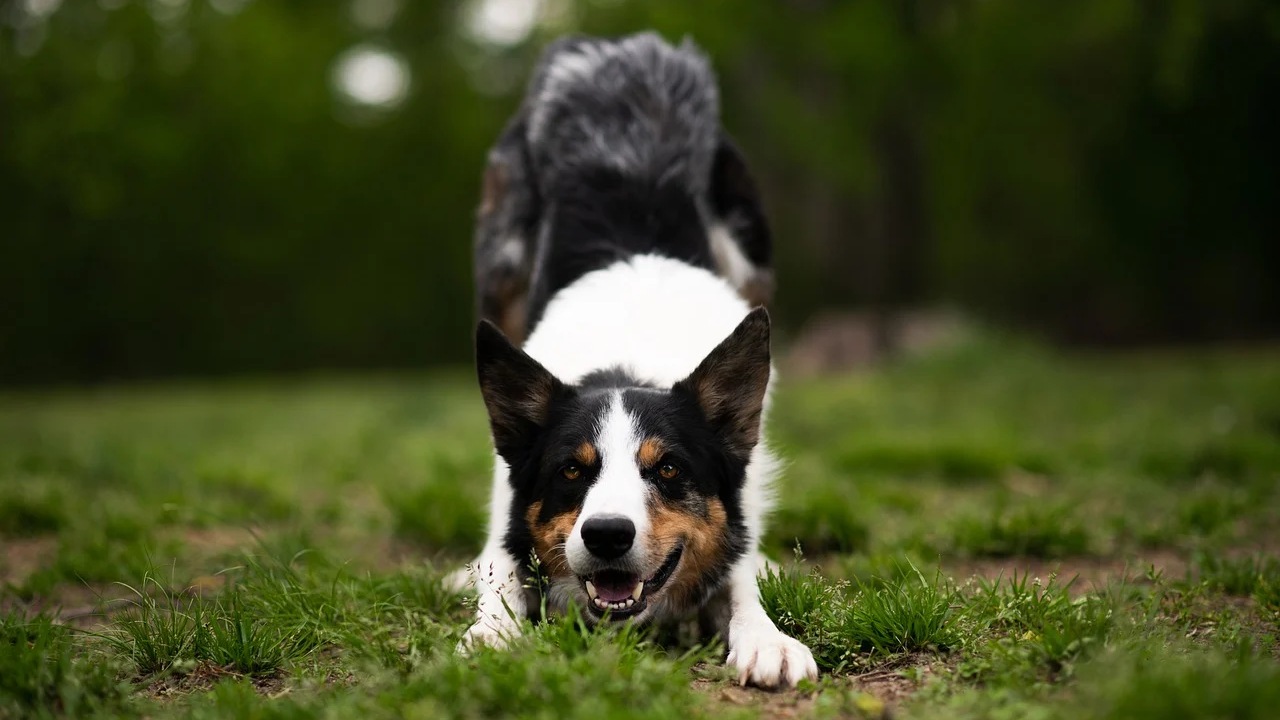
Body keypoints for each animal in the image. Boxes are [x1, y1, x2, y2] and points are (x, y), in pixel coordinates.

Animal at [460, 30, 819, 686]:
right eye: (571, 471)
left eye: (669, 469)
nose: (606, 535)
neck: (623, 360)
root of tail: (619, 44)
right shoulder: (507, 510)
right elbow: (500, 573)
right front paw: (491, 634)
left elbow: (740, 578)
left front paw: (767, 638)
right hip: (501, 264)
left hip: (752, 256)